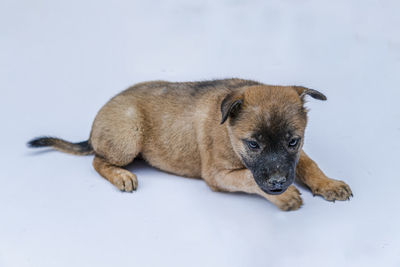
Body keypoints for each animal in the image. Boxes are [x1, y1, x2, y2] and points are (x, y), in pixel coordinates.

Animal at [28, 79, 354, 211]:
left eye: (293, 141)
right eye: (252, 144)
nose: (277, 183)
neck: (228, 132)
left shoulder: (296, 156)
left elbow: (308, 163)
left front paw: (328, 184)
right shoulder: (218, 175)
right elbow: (248, 177)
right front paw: (285, 196)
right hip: (128, 136)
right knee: (98, 159)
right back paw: (121, 175)